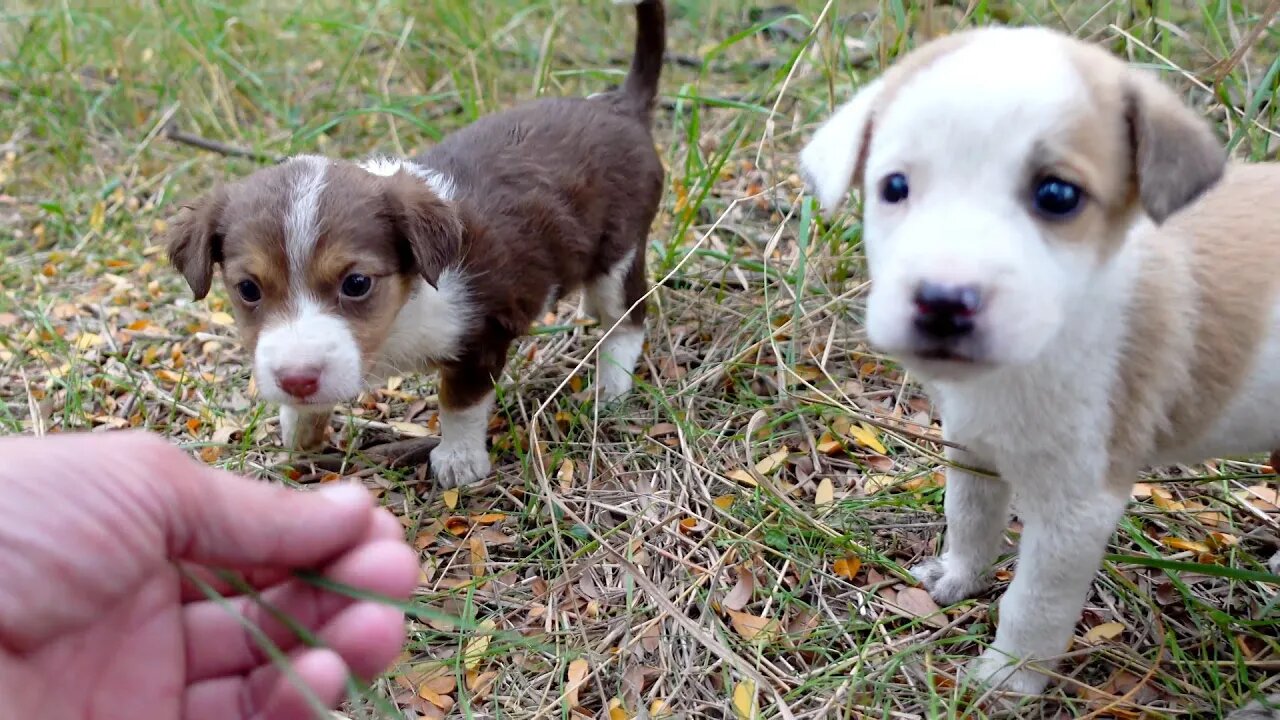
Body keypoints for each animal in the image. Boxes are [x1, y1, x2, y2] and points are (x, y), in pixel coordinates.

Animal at [165, 1, 665, 486]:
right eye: (248, 289)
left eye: (357, 283)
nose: (297, 380)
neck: (404, 309)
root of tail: (620, 104)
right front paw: (299, 426)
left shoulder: (481, 335)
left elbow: (460, 403)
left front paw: (459, 460)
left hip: (619, 253)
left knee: (628, 319)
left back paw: (610, 386)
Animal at [798, 25, 1280, 707]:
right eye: (893, 187)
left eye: (1057, 195)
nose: (943, 302)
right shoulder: (971, 447)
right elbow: (969, 519)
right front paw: (959, 577)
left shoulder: (1077, 509)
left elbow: (1034, 604)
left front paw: (1009, 677)